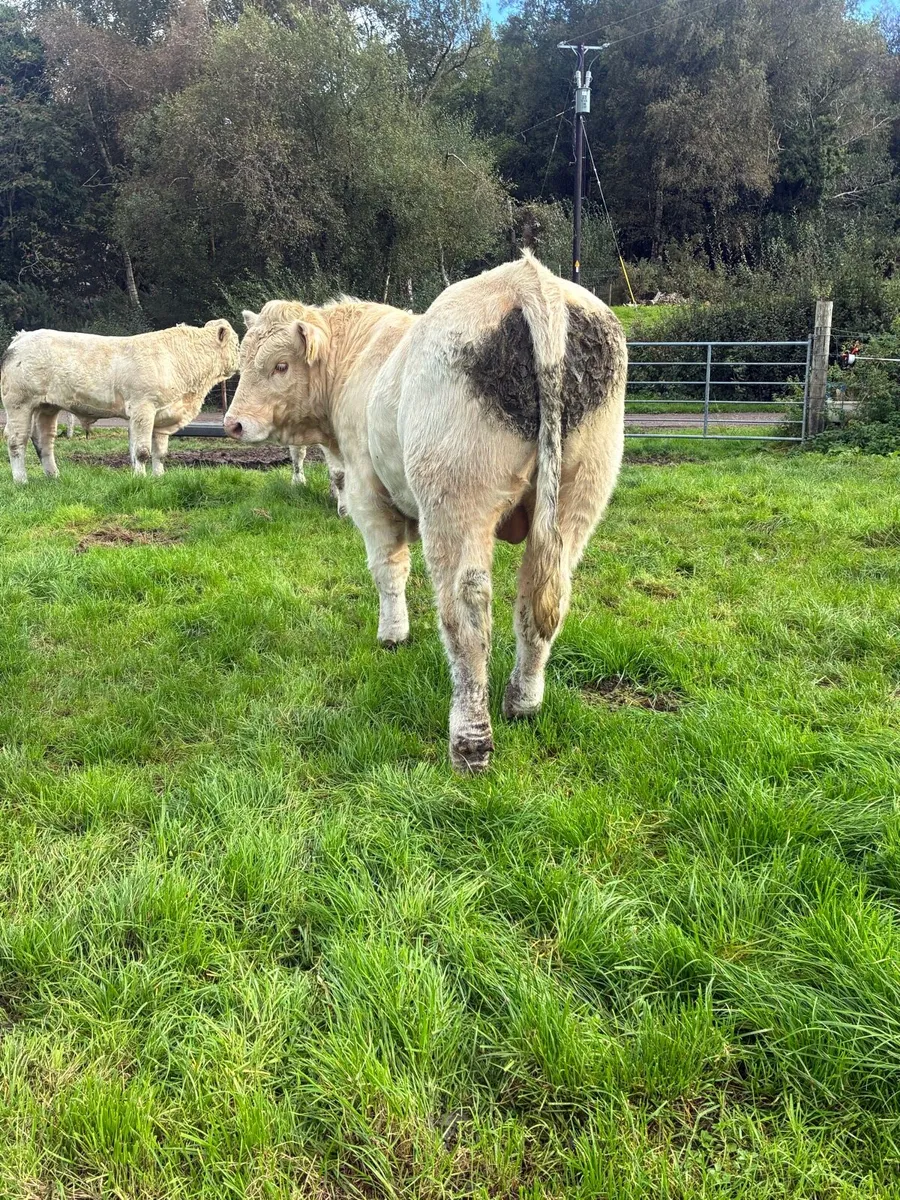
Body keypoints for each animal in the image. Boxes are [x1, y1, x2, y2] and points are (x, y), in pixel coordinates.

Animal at [1, 320, 239, 483]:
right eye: (237, 343)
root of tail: (21, 338)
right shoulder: (143, 407)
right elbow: (141, 451)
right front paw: (142, 479)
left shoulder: (161, 415)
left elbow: (158, 452)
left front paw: (158, 478)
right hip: (18, 404)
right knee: (16, 440)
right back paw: (21, 480)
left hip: (47, 407)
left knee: (44, 440)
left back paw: (54, 476)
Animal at [224, 254, 627, 772]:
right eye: (243, 361)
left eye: (280, 365)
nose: (233, 423)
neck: (358, 359)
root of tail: (527, 279)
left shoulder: (367, 492)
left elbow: (388, 569)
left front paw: (393, 635)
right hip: (578, 497)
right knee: (542, 597)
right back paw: (523, 703)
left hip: (454, 502)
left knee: (467, 612)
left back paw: (470, 742)